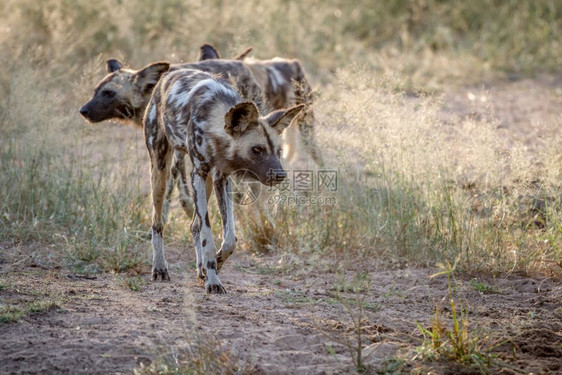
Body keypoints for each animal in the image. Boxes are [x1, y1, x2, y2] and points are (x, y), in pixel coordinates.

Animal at [144, 68, 302, 294]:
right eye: (257, 149)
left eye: (278, 151)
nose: (280, 175)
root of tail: (168, 74)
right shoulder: (198, 175)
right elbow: (208, 235)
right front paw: (213, 281)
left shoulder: (222, 178)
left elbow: (230, 239)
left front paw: (215, 264)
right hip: (160, 172)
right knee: (157, 223)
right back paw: (159, 268)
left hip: (208, 183)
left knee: (194, 226)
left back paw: (201, 268)